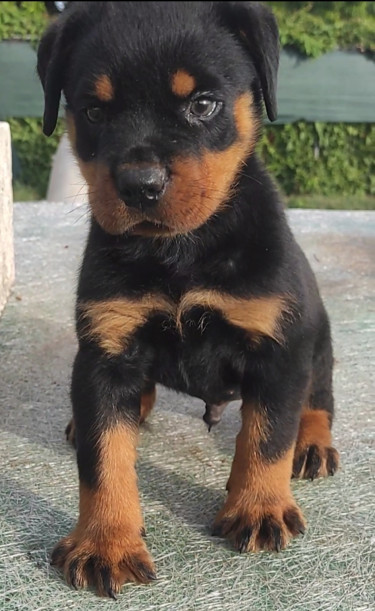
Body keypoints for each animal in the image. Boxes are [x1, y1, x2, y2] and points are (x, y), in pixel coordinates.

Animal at [38, 0, 340, 600]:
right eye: (93, 110)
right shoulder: (105, 350)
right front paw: (105, 542)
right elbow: (103, 459)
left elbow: (267, 436)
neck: (179, 250)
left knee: (316, 398)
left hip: (316, 336)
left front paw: (259, 508)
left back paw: (313, 443)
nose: (140, 184)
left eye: (203, 104)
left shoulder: (278, 347)